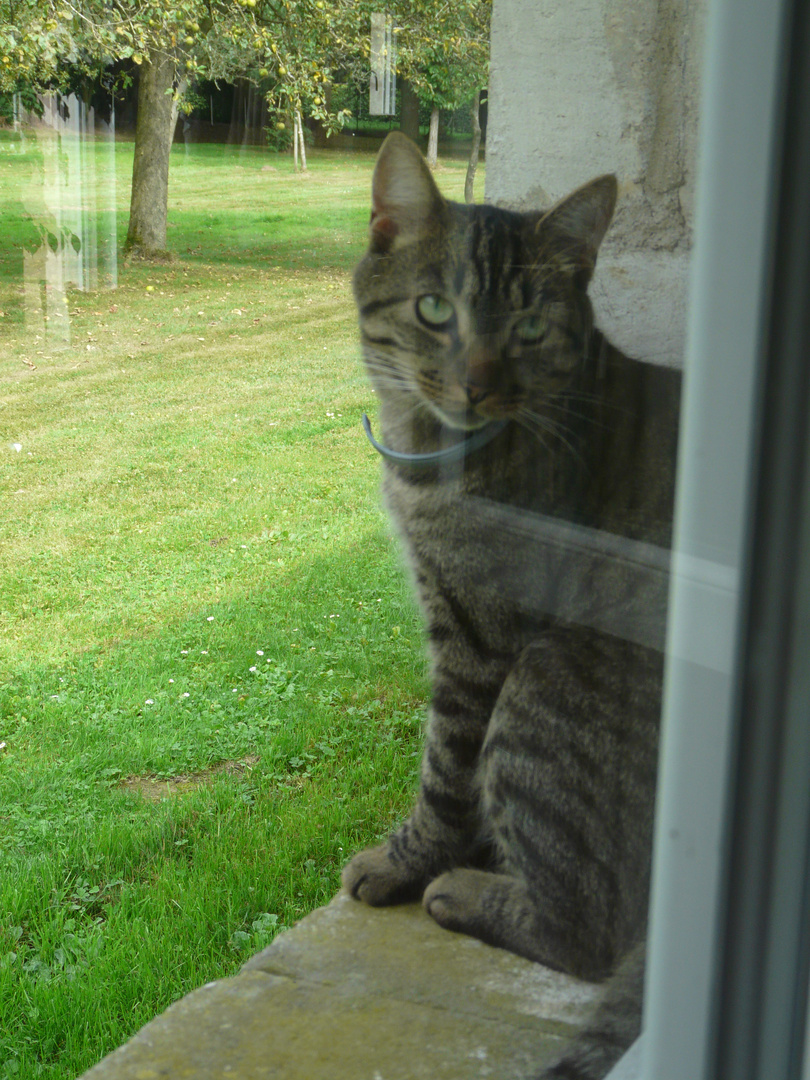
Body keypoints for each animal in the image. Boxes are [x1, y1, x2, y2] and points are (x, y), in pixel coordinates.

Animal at [339, 135, 682, 1080]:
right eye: (433, 310)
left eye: (529, 328)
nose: (478, 383)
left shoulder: (477, 638)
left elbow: (444, 770)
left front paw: (408, 861)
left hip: (550, 679)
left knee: (586, 934)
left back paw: (465, 892)